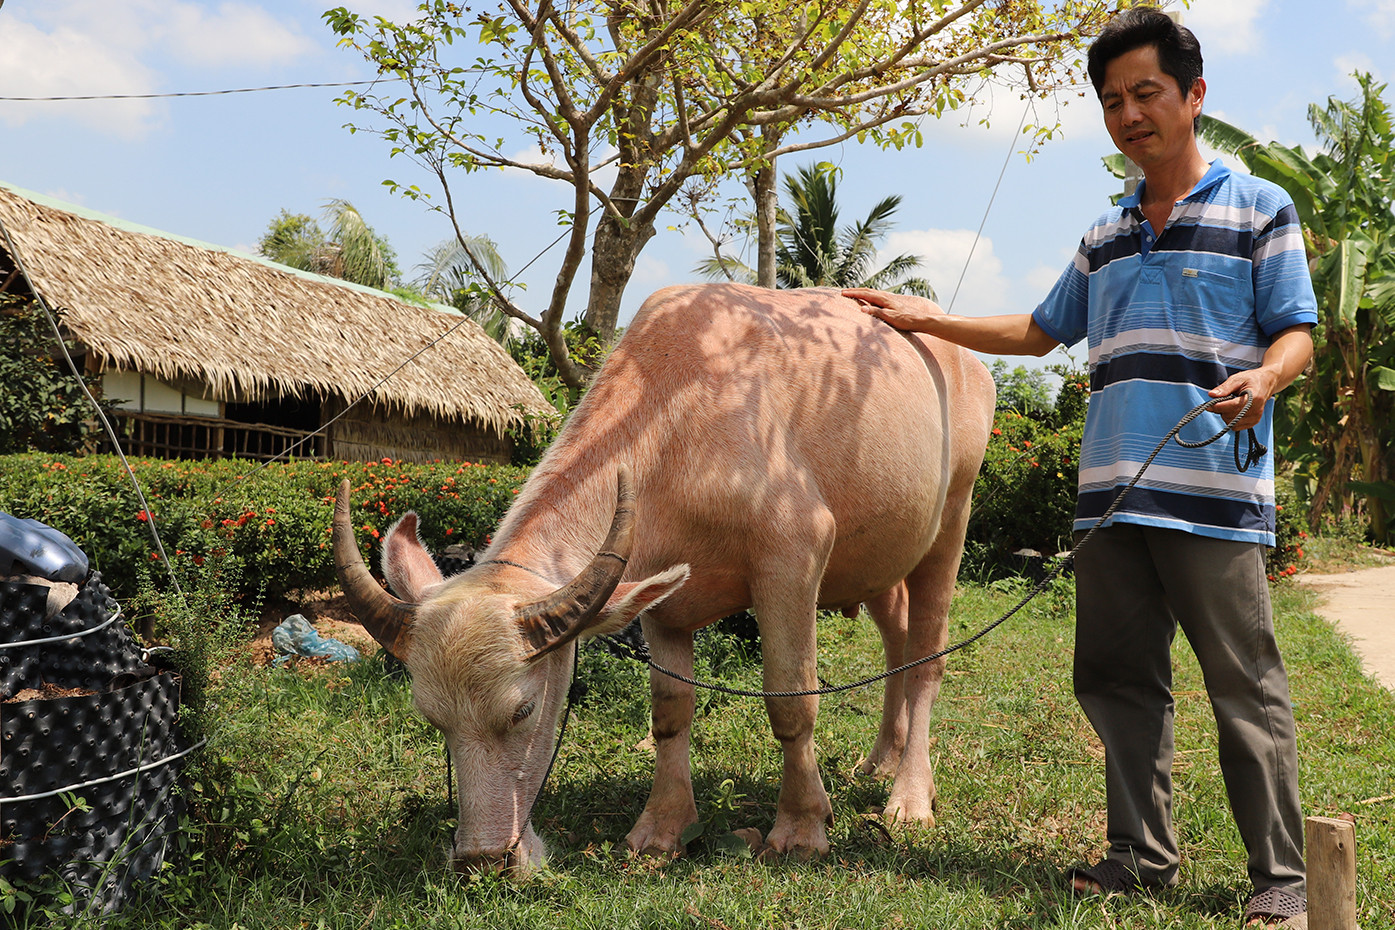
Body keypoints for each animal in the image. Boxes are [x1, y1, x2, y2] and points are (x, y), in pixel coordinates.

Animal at [332, 281, 998, 875]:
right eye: (432, 719)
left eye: (523, 711)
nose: (483, 859)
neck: (683, 415)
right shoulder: (656, 597)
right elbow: (670, 710)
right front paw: (660, 829)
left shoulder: (793, 556)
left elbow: (791, 701)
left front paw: (803, 827)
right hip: (882, 561)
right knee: (899, 642)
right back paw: (881, 759)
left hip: (953, 519)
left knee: (930, 655)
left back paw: (909, 795)